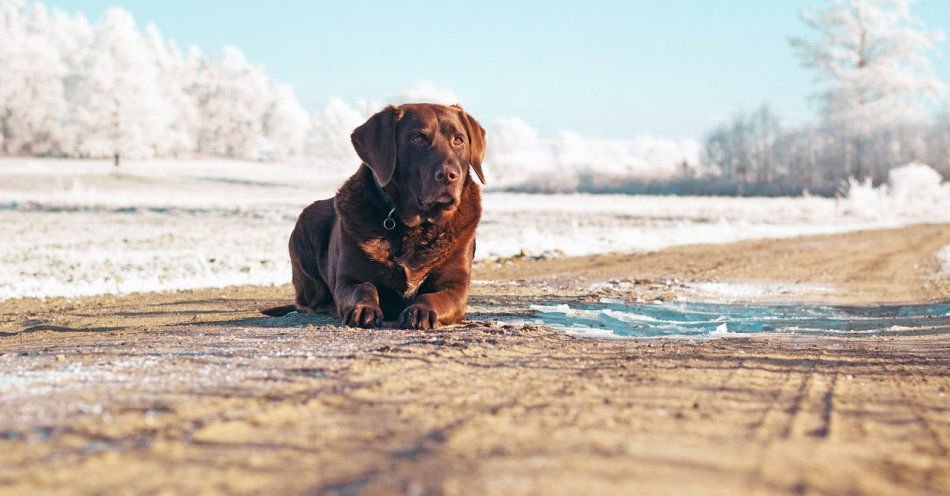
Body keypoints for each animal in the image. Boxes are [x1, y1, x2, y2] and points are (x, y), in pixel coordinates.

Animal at [260, 103, 484, 330]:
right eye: (417, 138)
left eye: (458, 140)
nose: (449, 175)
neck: (413, 227)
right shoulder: (348, 279)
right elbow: (365, 286)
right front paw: (363, 309)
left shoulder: (456, 285)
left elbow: (432, 296)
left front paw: (420, 310)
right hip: (309, 219)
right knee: (308, 302)